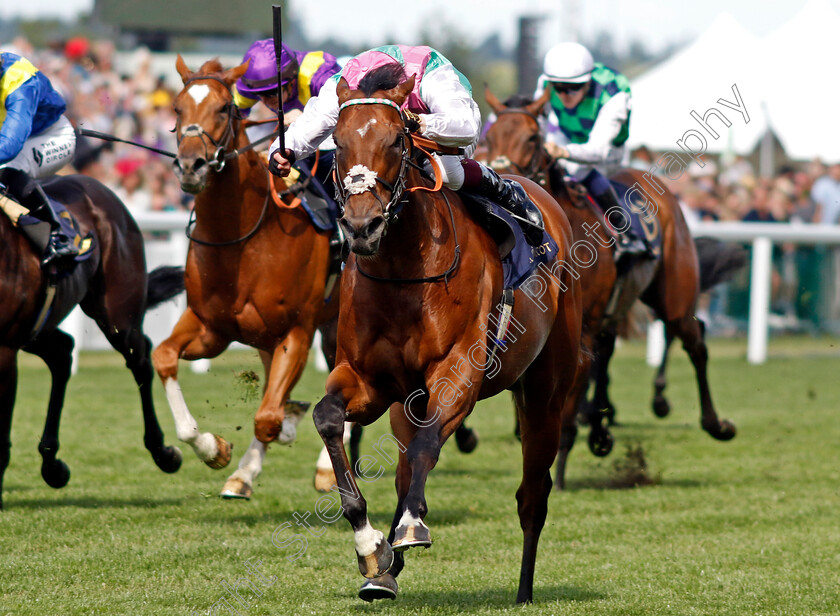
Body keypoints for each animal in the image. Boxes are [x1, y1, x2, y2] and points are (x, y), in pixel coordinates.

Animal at [0, 172, 184, 510]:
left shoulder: (5, 350)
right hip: (39, 328)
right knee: (62, 353)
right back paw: (52, 465)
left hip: (117, 314)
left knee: (140, 359)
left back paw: (164, 453)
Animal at [154, 56, 342, 500]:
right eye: (177, 108)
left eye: (224, 108)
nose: (191, 166)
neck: (244, 240)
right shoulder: (211, 327)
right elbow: (163, 356)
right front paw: (214, 449)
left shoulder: (297, 329)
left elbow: (267, 417)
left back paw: (325, 466)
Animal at [314, 70, 584, 604]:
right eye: (338, 142)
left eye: (396, 141)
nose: (362, 226)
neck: (402, 271)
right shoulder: (368, 381)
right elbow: (328, 418)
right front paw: (369, 547)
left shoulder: (459, 373)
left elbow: (426, 447)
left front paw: (411, 527)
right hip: (405, 403)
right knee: (404, 468)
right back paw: (386, 573)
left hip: (545, 393)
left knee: (532, 495)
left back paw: (524, 589)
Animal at [482, 86, 740, 488]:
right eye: (490, 135)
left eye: (533, 137)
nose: (503, 176)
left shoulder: (581, 329)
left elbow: (566, 404)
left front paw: (558, 470)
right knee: (610, 354)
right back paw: (602, 428)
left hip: (674, 298)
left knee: (694, 341)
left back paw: (712, 423)